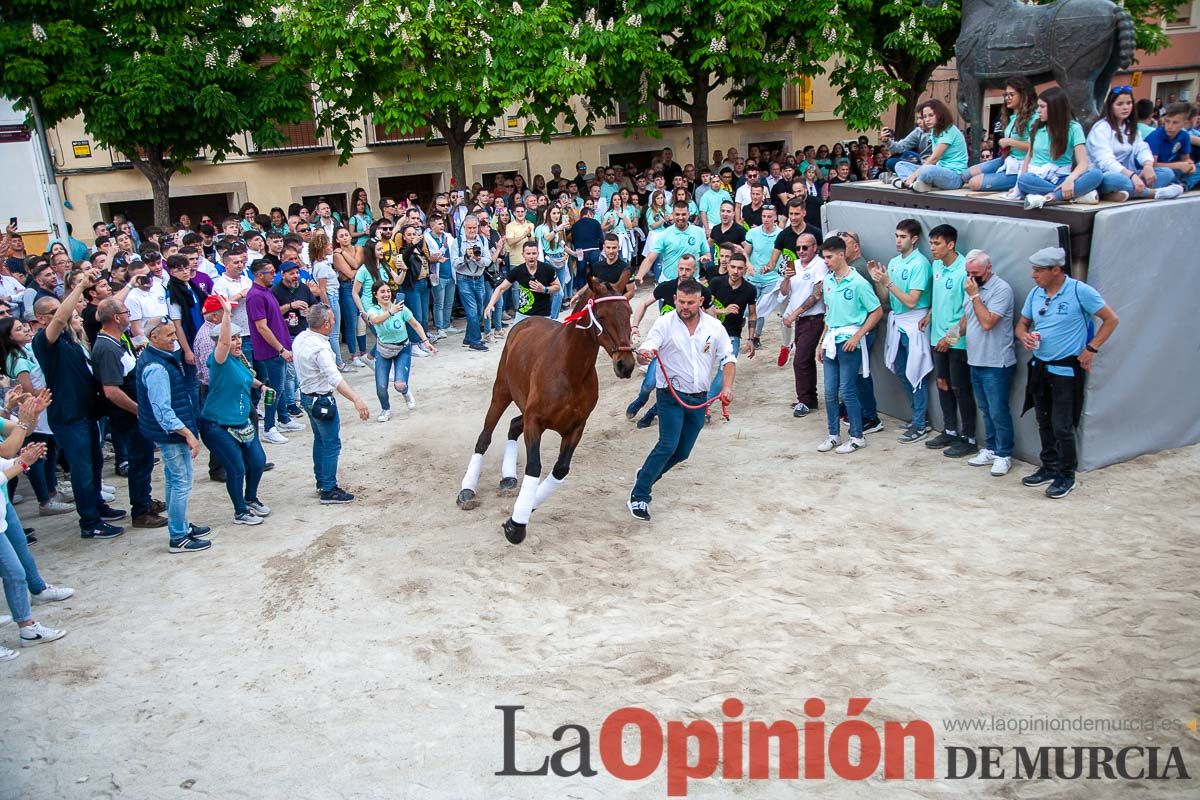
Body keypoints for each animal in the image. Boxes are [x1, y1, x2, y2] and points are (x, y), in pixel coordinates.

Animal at [453, 273, 638, 544]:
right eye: (602, 316)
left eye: (628, 312)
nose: (625, 365)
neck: (570, 370)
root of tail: (525, 322)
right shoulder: (535, 421)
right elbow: (534, 467)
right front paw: (516, 526)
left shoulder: (575, 427)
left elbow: (560, 469)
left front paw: (526, 507)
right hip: (501, 392)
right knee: (485, 437)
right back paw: (467, 489)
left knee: (513, 425)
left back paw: (508, 476)